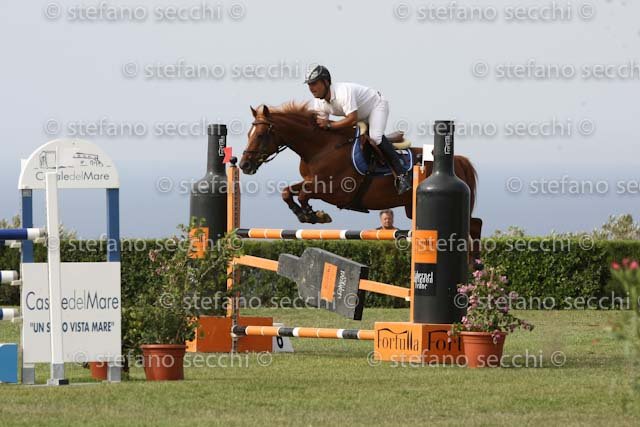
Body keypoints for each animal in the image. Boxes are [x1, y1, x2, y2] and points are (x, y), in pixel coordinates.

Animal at [240, 102, 483, 258]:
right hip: (411, 209)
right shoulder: (311, 180)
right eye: (248, 134)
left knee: (474, 225)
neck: (321, 147)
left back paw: (475, 265)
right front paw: (305, 214)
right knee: (475, 224)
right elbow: (287, 191)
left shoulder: (336, 190)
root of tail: (459, 161)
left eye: (260, 135)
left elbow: (304, 194)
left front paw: (314, 215)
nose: (244, 165)